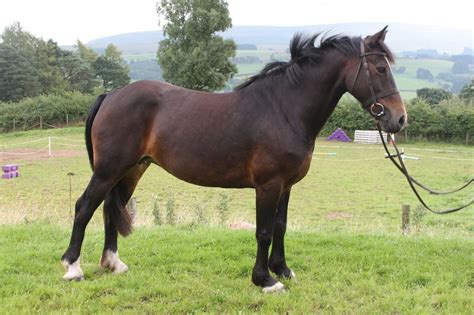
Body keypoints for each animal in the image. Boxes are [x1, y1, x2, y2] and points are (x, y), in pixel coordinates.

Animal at [60, 26, 408, 294]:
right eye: (380, 69)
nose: (400, 119)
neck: (284, 109)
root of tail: (111, 95)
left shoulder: (286, 186)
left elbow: (280, 227)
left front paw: (282, 269)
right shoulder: (268, 185)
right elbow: (263, 231)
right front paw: (265, 280)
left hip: (132, 170)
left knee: (110, 209)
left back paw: (113, 263)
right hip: (109, 169)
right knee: (85, 206)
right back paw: (72, 267)